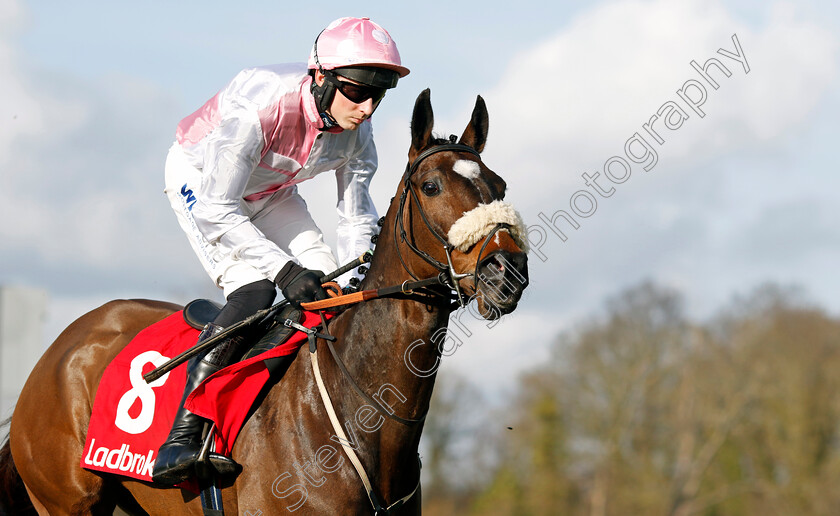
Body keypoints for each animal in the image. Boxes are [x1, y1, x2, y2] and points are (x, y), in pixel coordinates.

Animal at [0, 89, 528, 516]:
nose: (507, 273)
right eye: (431, 186)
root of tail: (59, 349)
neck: (359, 413)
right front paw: (301, 284)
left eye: (500, 186)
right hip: (66, 501)